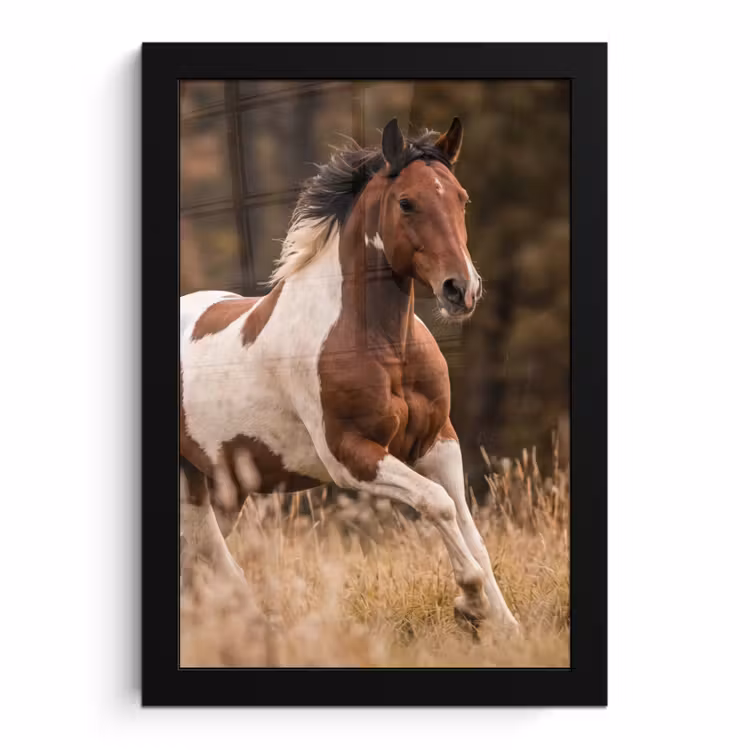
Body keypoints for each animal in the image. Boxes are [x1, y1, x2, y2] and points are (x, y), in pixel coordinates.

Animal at [179, 117, 519, 633]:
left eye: (461, 198)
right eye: (407, 202)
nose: (461, 289)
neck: (381, 345)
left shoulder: (438, 441)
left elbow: (466, 523)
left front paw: (505, 626)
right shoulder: (351, 456)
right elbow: (436, 502)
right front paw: (470, 602)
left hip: (215, 487)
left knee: (204, 558)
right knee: (210, 560)